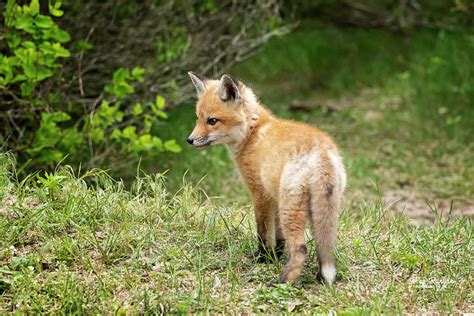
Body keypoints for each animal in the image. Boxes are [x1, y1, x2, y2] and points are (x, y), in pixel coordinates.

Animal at [187, 72, 346, 286]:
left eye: (212, 120)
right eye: (198, 118)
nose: (190, 140)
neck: (252, 133)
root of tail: (321, 151)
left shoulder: (259, 193)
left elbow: (262, 232)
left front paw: (263, 257)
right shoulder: (273, 194)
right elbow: (278, 236)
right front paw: (276, 255)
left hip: (291, 209)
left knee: (301, 248)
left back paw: (283, 282)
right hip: (325, 209)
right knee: (326, 246)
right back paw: (321, 277)